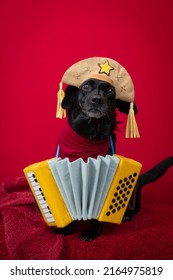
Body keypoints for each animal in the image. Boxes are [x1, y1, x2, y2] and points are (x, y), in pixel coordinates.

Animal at [55, 77, 173, 242]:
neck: (90, 137)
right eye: (85, 86)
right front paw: (66, 227)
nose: (97, 99)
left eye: (110, 91)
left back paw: (127, 215)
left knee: (134, 208)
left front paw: (93, 231)